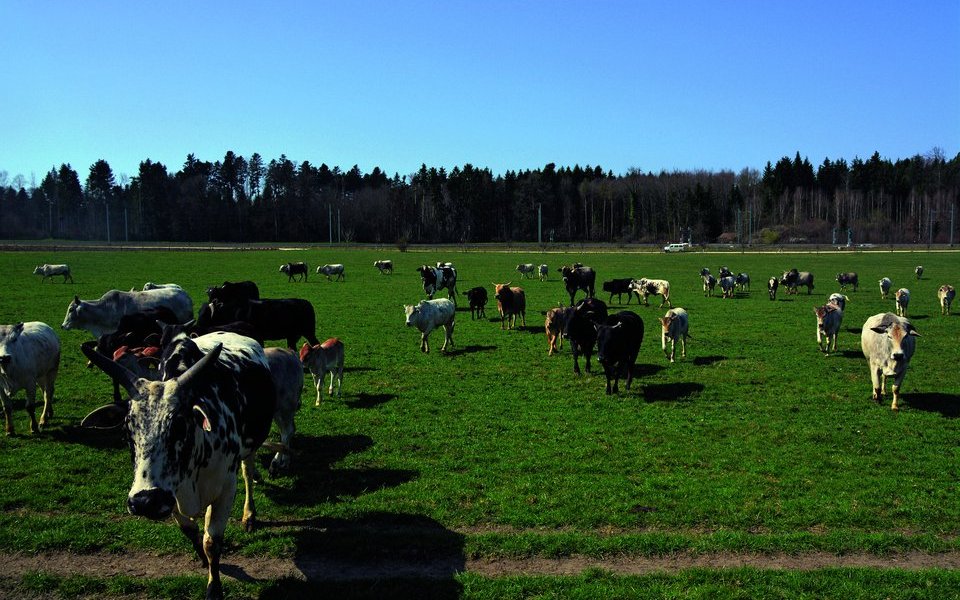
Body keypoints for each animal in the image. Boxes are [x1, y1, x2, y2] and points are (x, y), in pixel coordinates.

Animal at [79, 332, 278, 600]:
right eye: (126, 430)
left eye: (180, 426)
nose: (146, 502)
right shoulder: (170, 494)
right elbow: (190, 531)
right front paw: (203, 561)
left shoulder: (225, 488)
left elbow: (212, 541)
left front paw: (214, 588)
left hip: (251, 446)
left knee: (248, 472)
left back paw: (249, 515)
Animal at [262, 346, 304, 478]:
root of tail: (290, 352)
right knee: (287, 431)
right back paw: (285, 461)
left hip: (286, 406)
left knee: (287, 431)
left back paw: (275, 464)